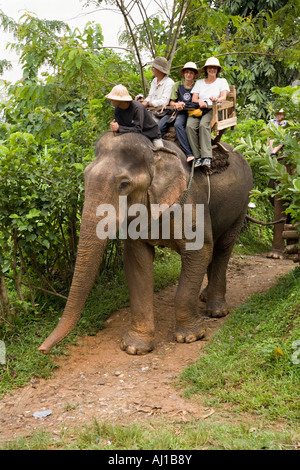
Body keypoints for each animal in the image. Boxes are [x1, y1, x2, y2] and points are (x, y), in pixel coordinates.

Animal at [38, 130, 253, 354]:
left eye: (124, 184)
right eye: (85, 177)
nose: (42, 350)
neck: (155, 155)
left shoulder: (191, 201)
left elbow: (200, 250)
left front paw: (190, 337)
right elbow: (137, 261)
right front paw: (135, 347)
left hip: (243, 202)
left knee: (222, 248)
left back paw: (216, 311)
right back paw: (203, 297)